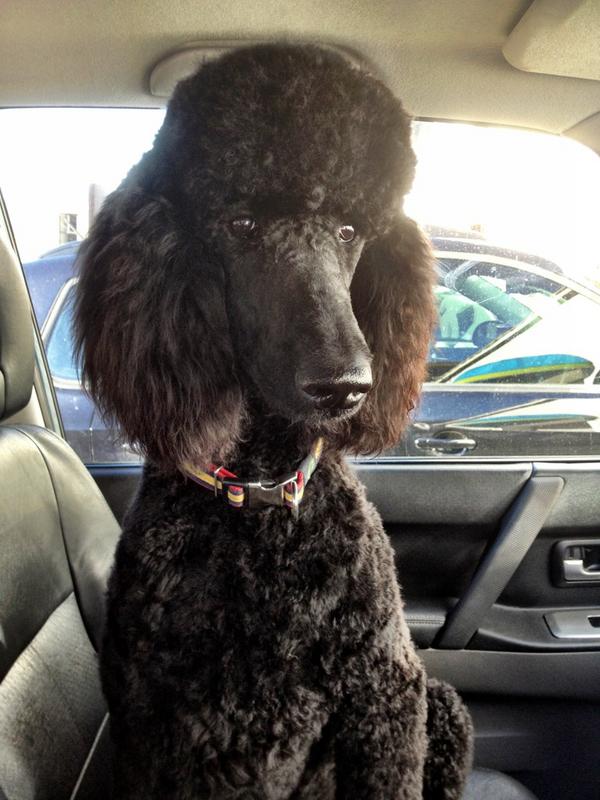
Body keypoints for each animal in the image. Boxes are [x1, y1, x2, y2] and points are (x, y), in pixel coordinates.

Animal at [75, 43, 473, 799]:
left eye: (349, 231)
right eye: (241, 226)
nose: (346, 385)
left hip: (440, 705)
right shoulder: (166, 734)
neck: (261, 497)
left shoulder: (387, 692)